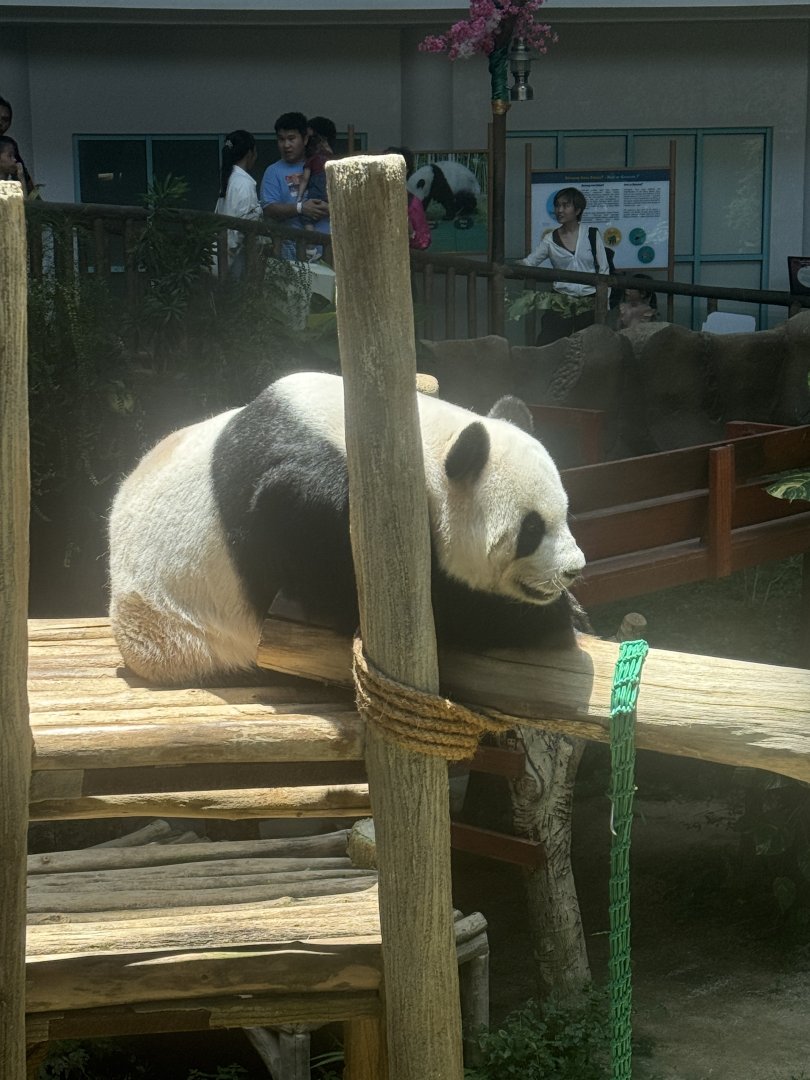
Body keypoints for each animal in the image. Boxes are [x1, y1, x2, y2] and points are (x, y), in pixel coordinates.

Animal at [108, 371, 587, 685]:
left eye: (565, 512)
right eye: (530, 531)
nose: (573, 569)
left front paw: (571, 610)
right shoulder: (309, 506)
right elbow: (345, 585)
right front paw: (542, 620)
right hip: (178, 631)